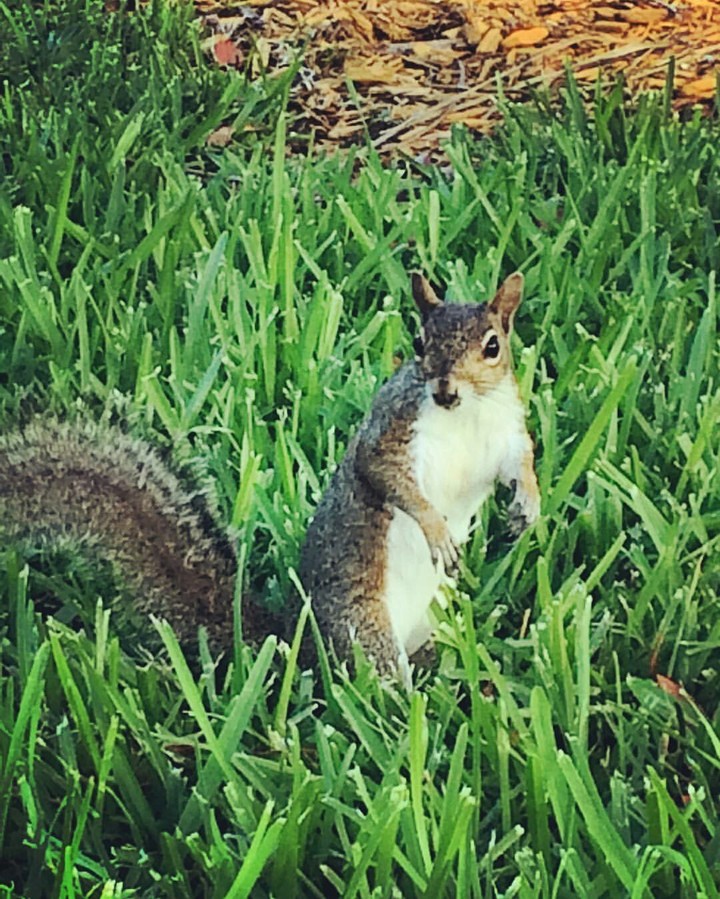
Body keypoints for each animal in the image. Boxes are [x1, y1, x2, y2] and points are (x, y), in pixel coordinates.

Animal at [0, 271, 539, 684]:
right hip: (364, 628)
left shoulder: (505, 432)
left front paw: (527, 508)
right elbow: (387, 477)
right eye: (420, 342)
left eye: (493, 346)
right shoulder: (393, 430)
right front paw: (435, 529)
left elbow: (521, 465)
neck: (464, 415)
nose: (446, 390)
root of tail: (305, 640)